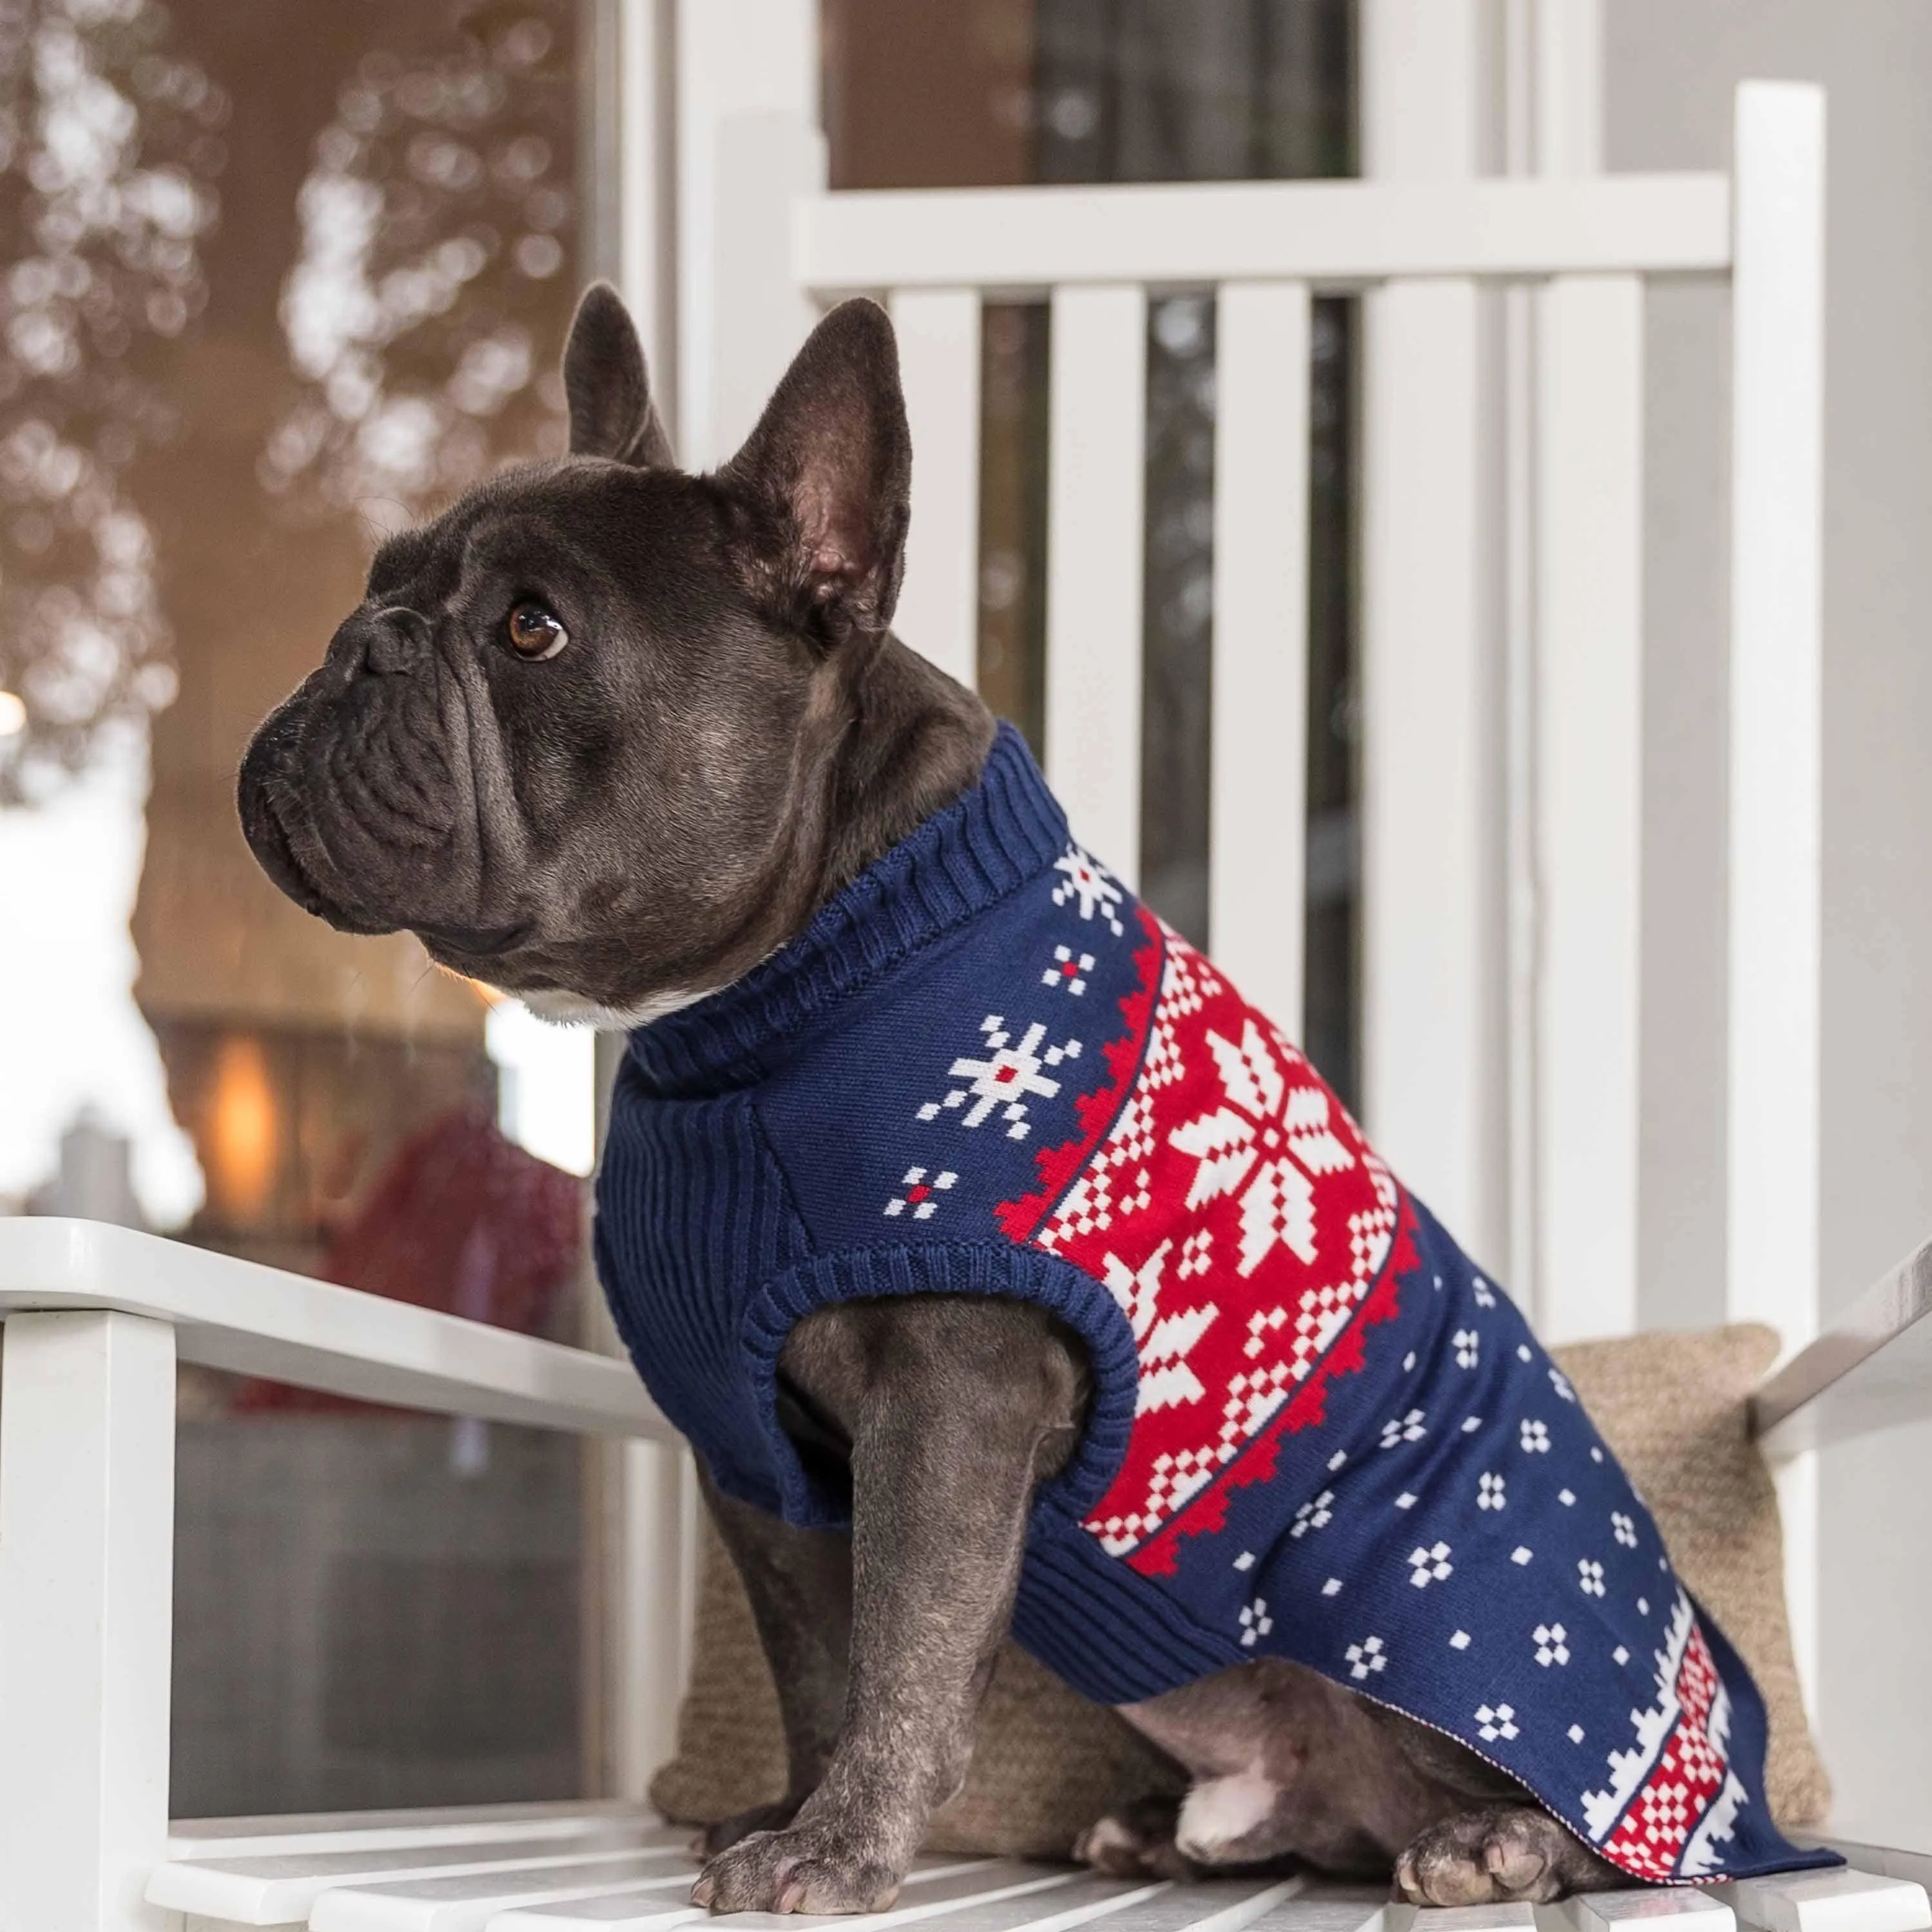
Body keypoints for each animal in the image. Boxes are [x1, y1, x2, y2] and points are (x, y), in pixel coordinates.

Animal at [238, 282, 1793, 1917]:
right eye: (383, 581)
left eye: (533, 628)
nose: (359, 643)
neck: (783, 983)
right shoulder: (759, 1459)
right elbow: (816, 1661)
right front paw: (790, 1810)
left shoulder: (950, 1397)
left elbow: (907, 1657)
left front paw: (839, 1848)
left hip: (1423, 1614)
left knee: (1603, 1834)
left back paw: (1499, 1843)